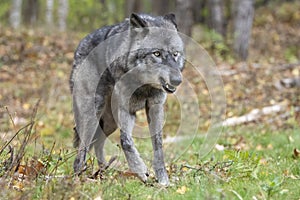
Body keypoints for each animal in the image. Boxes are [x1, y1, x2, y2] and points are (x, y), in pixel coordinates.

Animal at [69, 12, 185, 186]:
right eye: (156, 53)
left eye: (175, 54)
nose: (177, 80)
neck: (144, 85)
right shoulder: (126, 108)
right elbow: (125, 140)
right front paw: (141, 170)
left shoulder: (155, 107)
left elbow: (158, 145)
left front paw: (163, 180)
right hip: (92, 115)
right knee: (82, 149)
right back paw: (77, 179)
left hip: (109, 123)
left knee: (98, 143)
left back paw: (102, 173)